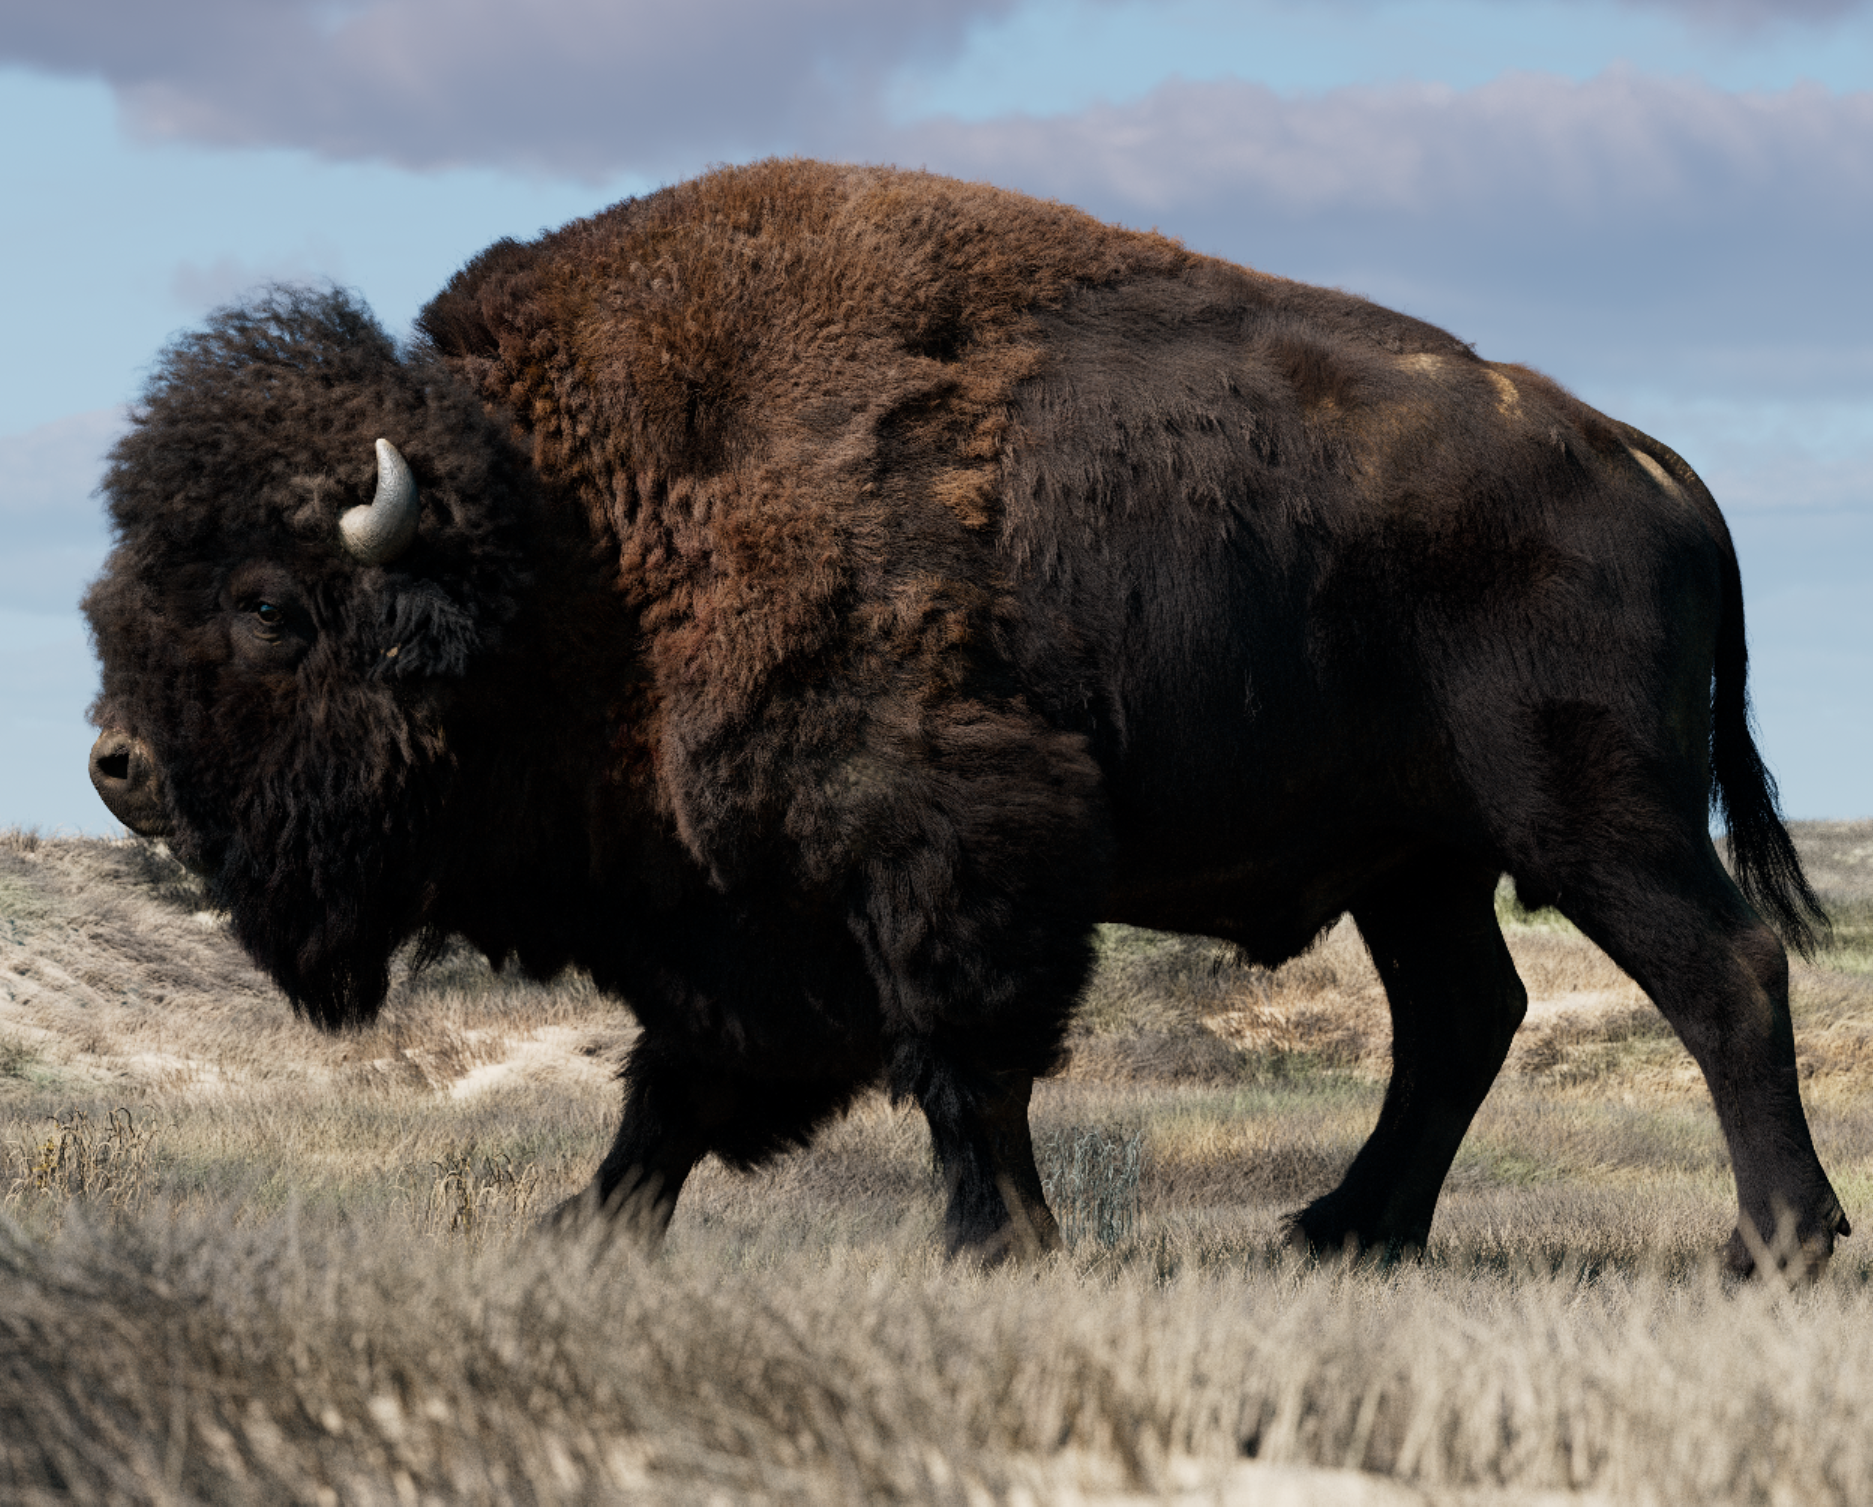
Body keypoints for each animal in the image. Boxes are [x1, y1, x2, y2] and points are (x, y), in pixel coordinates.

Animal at [84, 159, 1846, 1269]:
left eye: (268, 603)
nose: (119, 764)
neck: (564, 539)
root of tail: (1647, 463)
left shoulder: (944, 850)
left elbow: (956, 1059)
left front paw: (998, 1242)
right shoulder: (739, 912)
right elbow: (684, 1081)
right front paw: (578, 1230)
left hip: (1592, 812)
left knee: (1720, 971)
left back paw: (1775, 1241)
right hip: (1417, 862)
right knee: (1462, 1016)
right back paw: (1341, 1232)